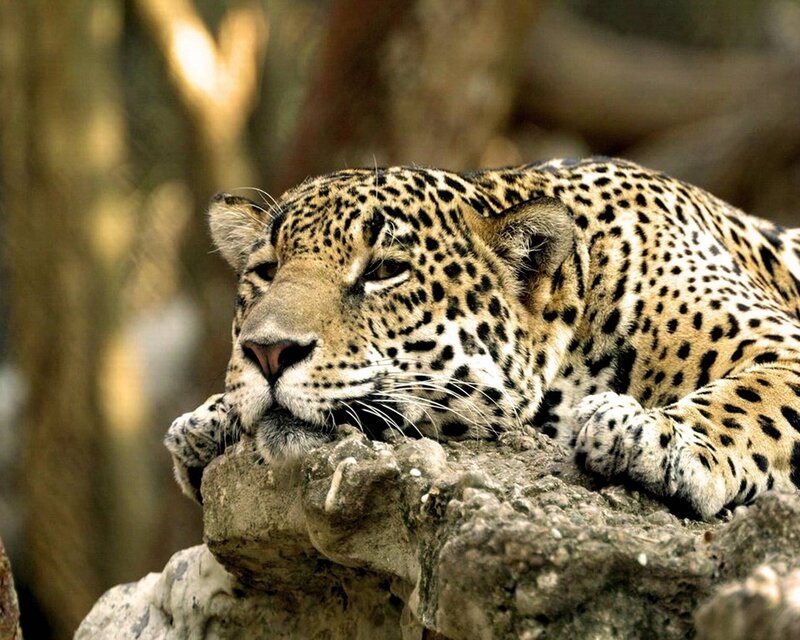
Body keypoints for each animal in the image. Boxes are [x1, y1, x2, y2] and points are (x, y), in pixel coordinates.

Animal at [165, 157, 800, 520]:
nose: (267, 351)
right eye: (266, 270)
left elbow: (750, 399)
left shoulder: (780, 341)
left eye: (384, 270)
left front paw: (651, 436)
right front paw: (209, 419)